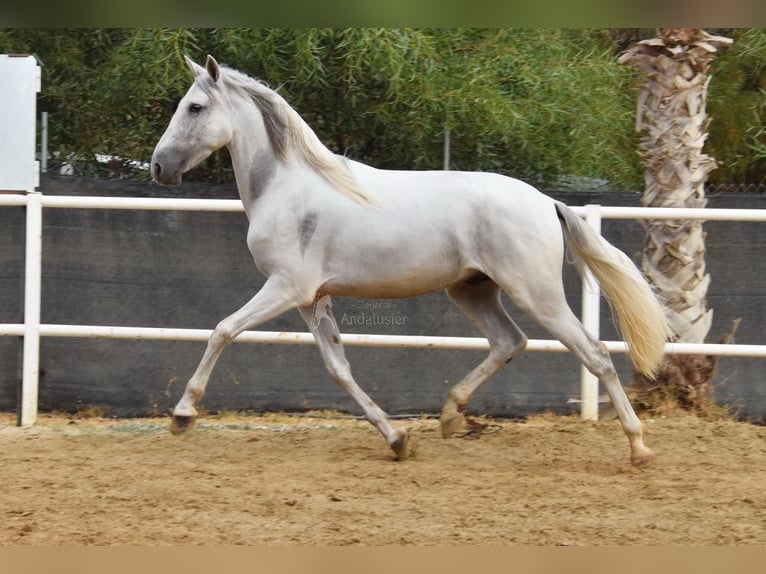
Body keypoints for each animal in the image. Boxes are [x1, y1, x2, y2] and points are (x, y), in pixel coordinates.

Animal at [151, 55, 669, 466]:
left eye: (195, 107)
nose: (159, 167)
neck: (288, 187)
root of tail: (545, 201)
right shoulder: (312, 299)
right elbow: (338, 367)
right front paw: (398, 439)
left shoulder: (285, 287)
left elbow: (222, 330)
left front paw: (183, 415)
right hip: (472, 290)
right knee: (509, 341)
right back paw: (450, 416)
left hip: (536, 294)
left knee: (595, 354)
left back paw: (639, 447)